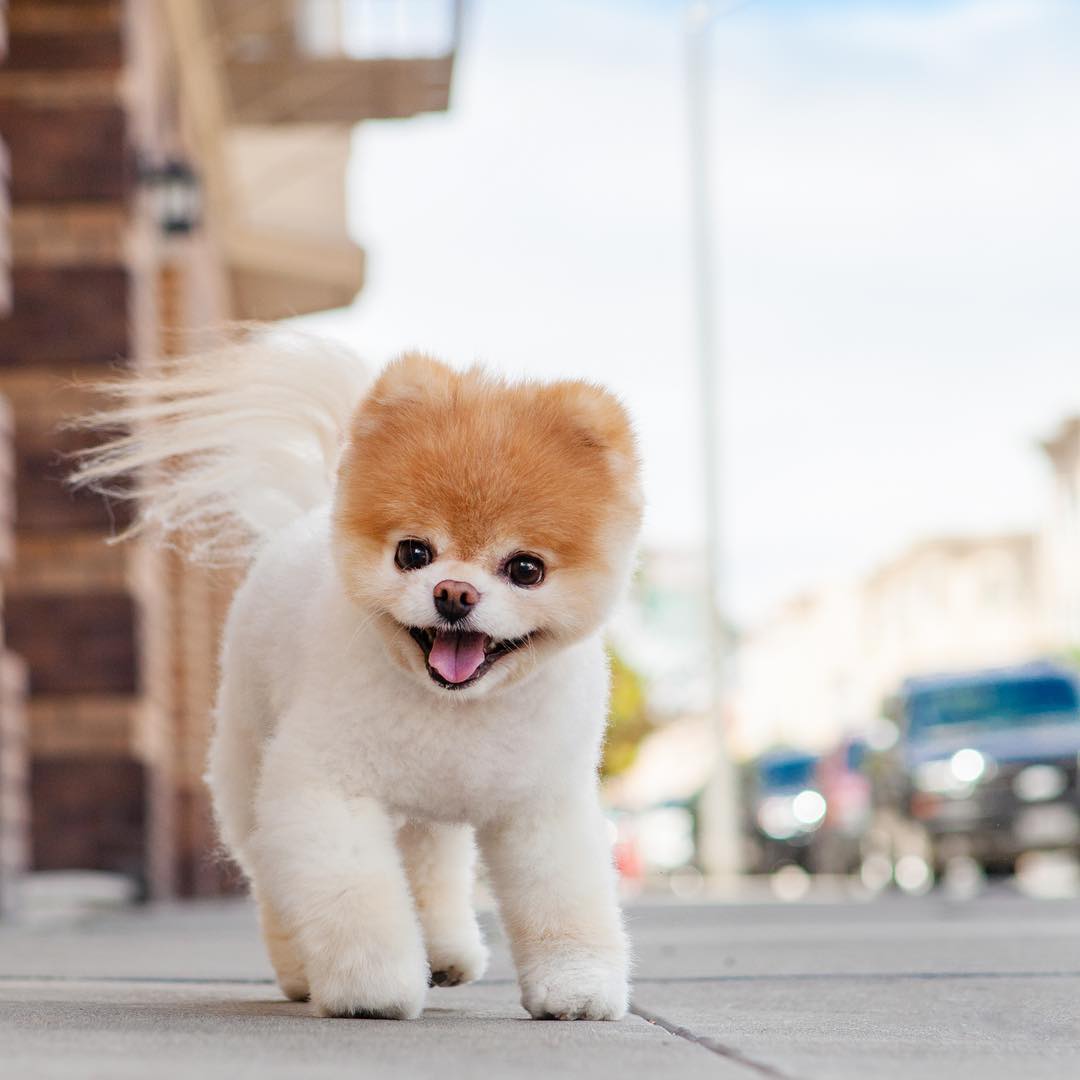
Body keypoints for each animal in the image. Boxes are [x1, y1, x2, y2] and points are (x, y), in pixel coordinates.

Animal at [78, 334, 648, 1019]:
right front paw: (371, 988)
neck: (454, 710)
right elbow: (354, 895)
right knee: (273, 871)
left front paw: (577, 987)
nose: (454, 593)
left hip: (425, 811)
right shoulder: (323, 786)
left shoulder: (542, 802)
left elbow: (563, 897)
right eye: (413, 553)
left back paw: (445, 953)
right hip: (248, 766)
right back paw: (302, 971)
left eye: (526, 569)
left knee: (430, 863)